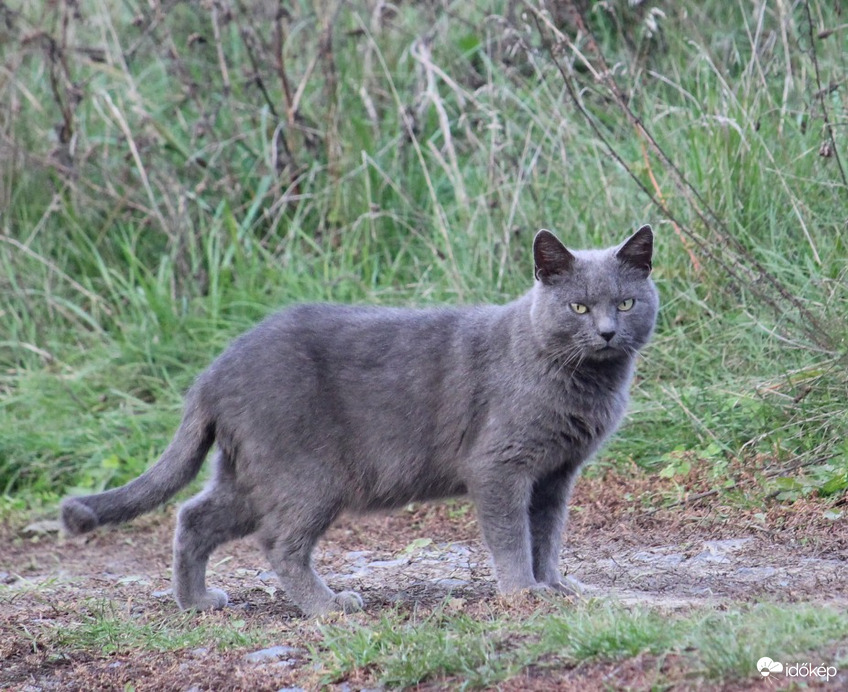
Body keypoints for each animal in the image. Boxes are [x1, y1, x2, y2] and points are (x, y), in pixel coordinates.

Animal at [61, 227, 656, 616]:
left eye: (626, 303)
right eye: (579, 308)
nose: (606, 332)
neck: (583, 384)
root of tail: (213, 370)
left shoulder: (557, 474)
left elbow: (548, 533)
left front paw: (556, 584)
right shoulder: (500, 466)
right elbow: (512, 535)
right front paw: (523, 592)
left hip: (252, 473)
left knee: (193, 517)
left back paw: (197, 602)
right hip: (308, 475)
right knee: (277, 542)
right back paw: (328, 605)